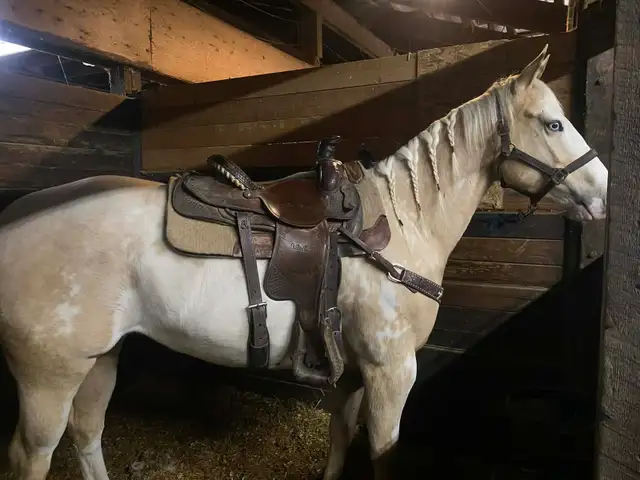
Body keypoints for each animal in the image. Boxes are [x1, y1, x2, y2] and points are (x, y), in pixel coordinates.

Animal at [0, 45, 607, 480]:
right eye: (553, 123)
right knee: (33, 455)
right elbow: (382, 454)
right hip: (49, 376)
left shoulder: (352, 372)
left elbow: (339, 439)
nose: (604, 192)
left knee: (87, 434)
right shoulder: (392, 371)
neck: (401, 226)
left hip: (100, 358)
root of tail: (15, 221)